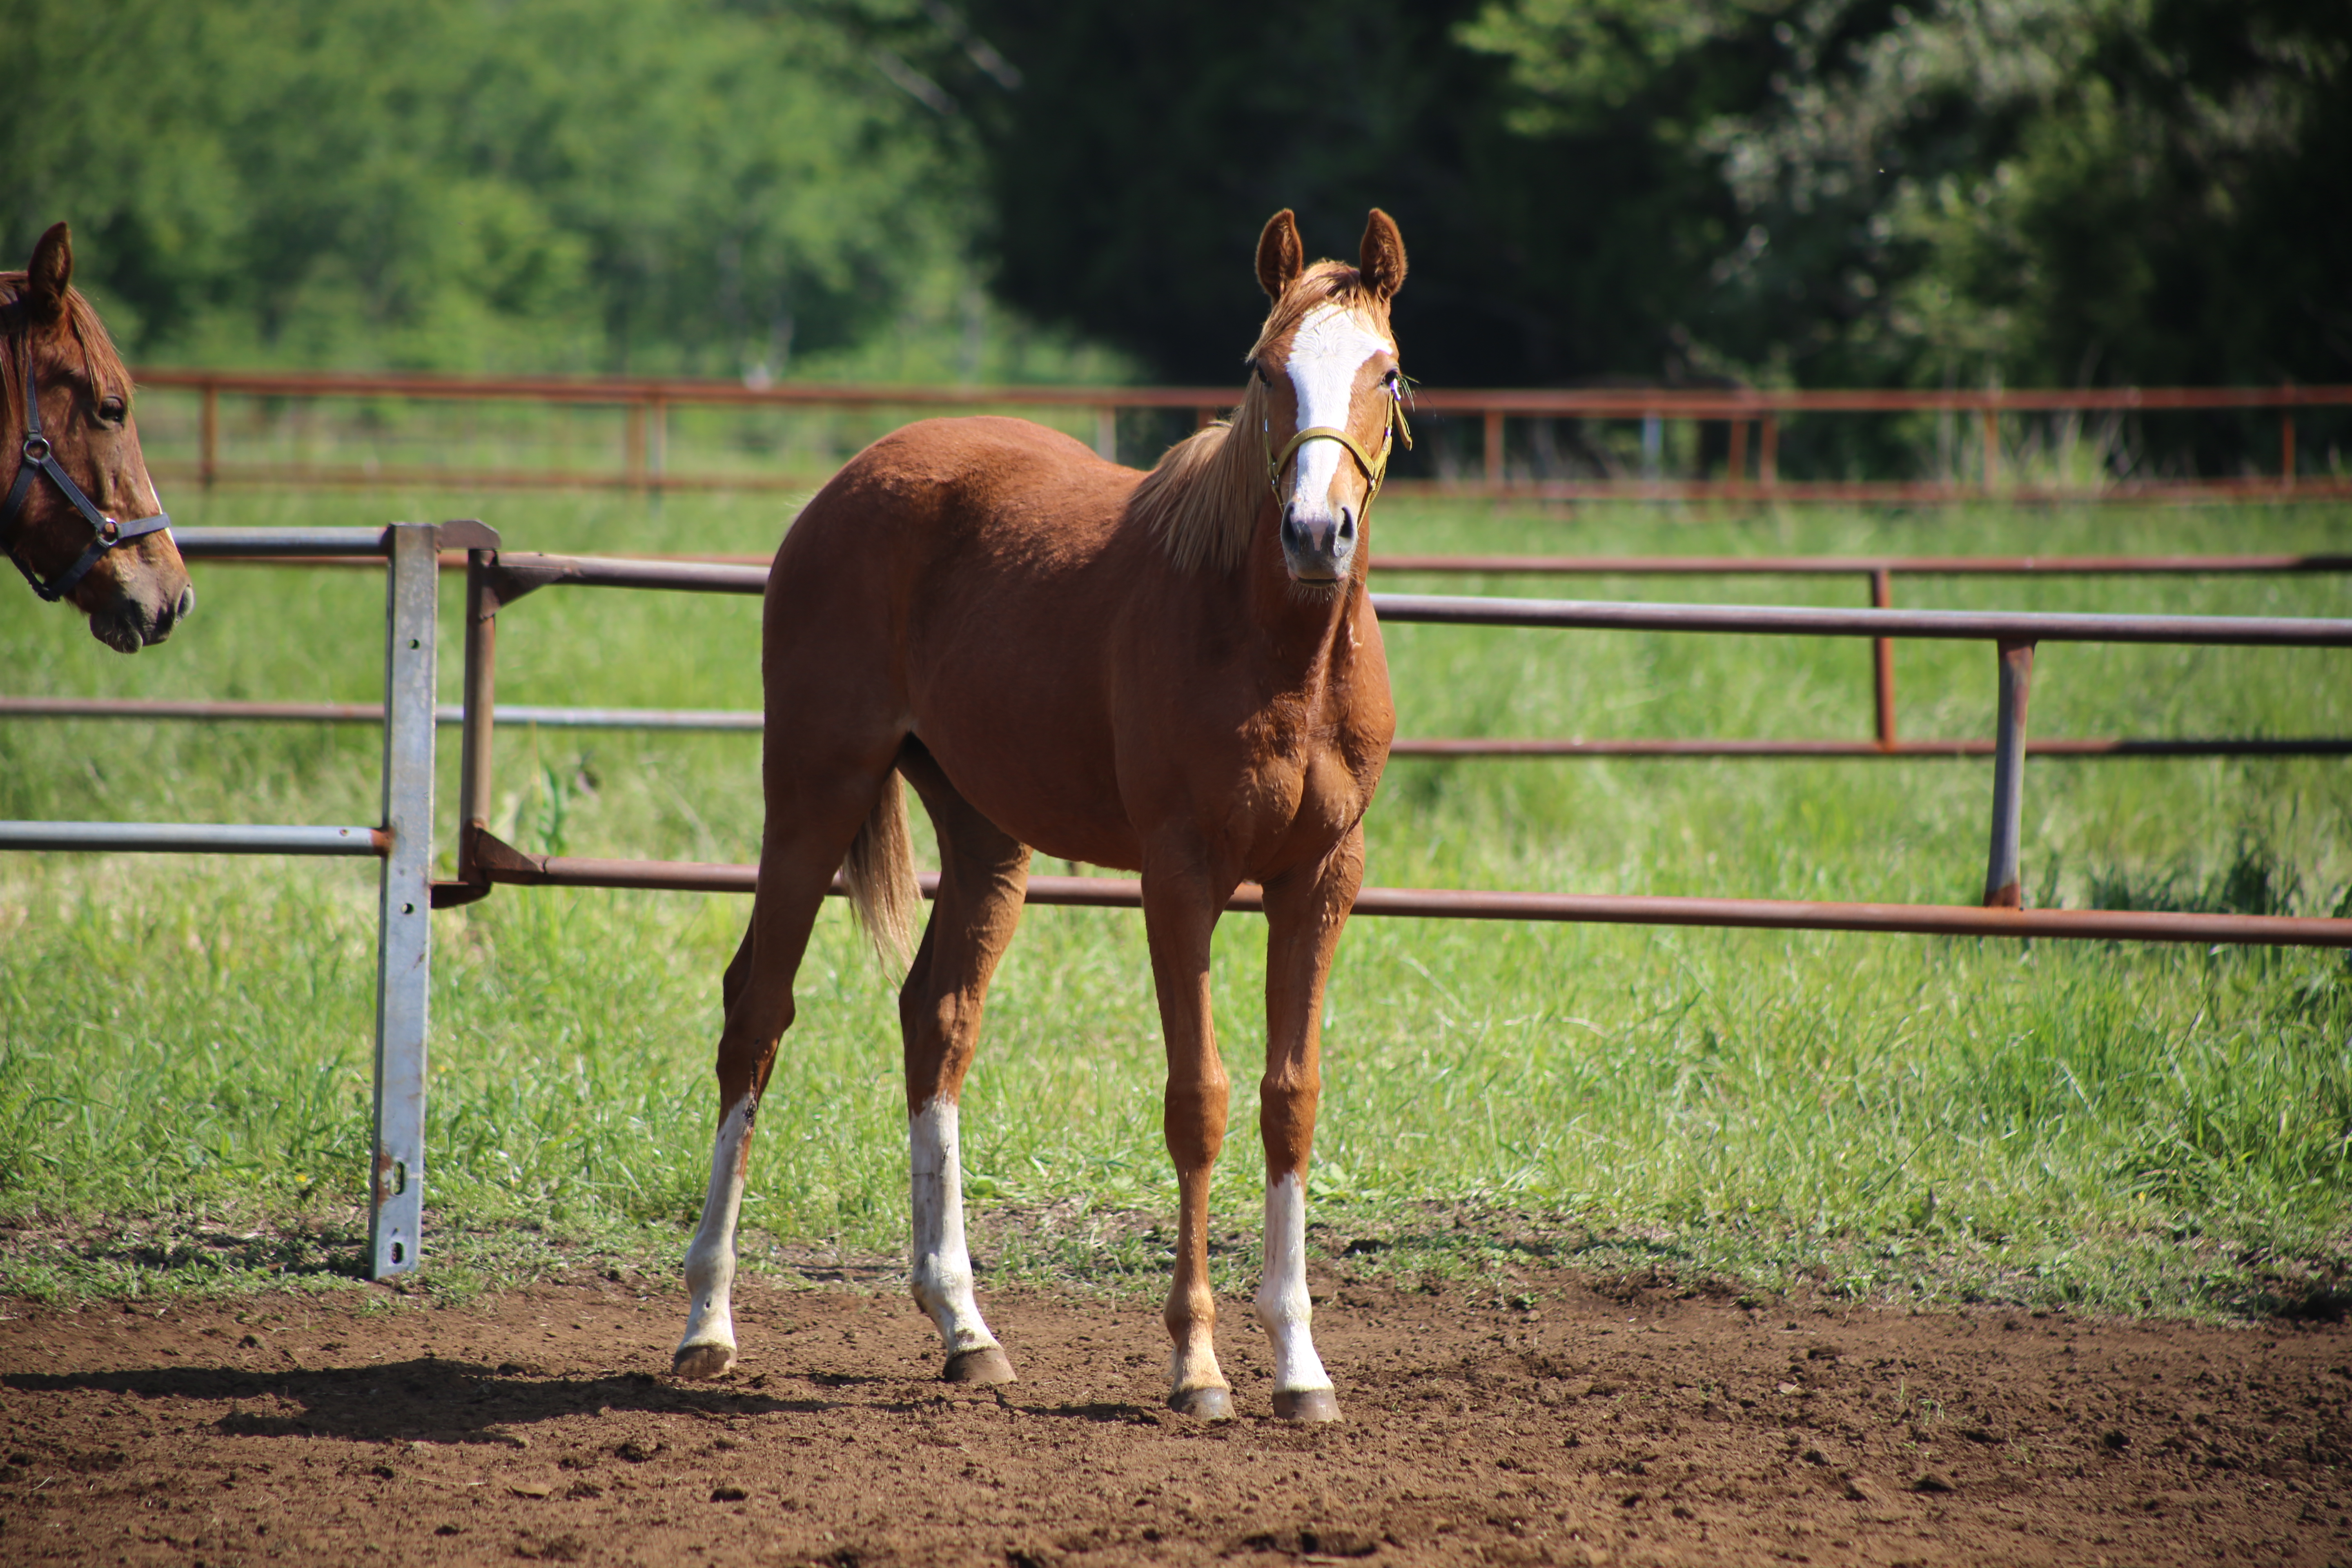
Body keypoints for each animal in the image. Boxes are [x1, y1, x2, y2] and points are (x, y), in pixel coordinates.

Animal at [677, 208, 1411, 1420]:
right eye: (1265, 369)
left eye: (1386, 372)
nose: (1316, 531)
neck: (1273, 643)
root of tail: (851, 481)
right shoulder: (1181, 876)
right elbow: (1199, 1100)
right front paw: (1197, 1365)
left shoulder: (1321, 879)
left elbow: (1289, 1100)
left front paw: (1301, 1367)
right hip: (816, 792)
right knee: (757, 1015)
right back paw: (708, 1321)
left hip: (985, 835)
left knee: (935, 1018)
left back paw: (963, 1326)